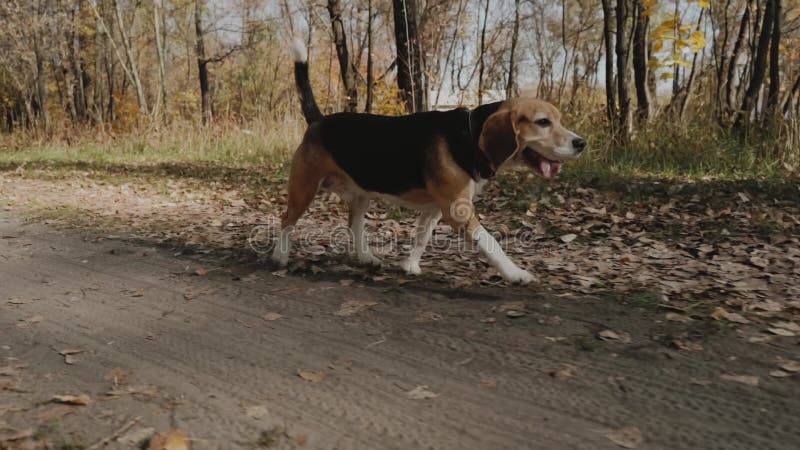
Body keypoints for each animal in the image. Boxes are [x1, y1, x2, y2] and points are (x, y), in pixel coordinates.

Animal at [272, 40, 584, 284]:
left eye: (558, 120)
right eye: (542, 122)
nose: (581, 143)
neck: (470, 135)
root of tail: (319, 121)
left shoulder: (435, 208)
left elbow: (422, 237)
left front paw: (410, 265)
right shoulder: (459, 211)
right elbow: (491, 243)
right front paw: (516, 273)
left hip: (360, 195)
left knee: (354, 225)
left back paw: (366, 257)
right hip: (304, 188)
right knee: (286, 220)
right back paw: (280, 256)